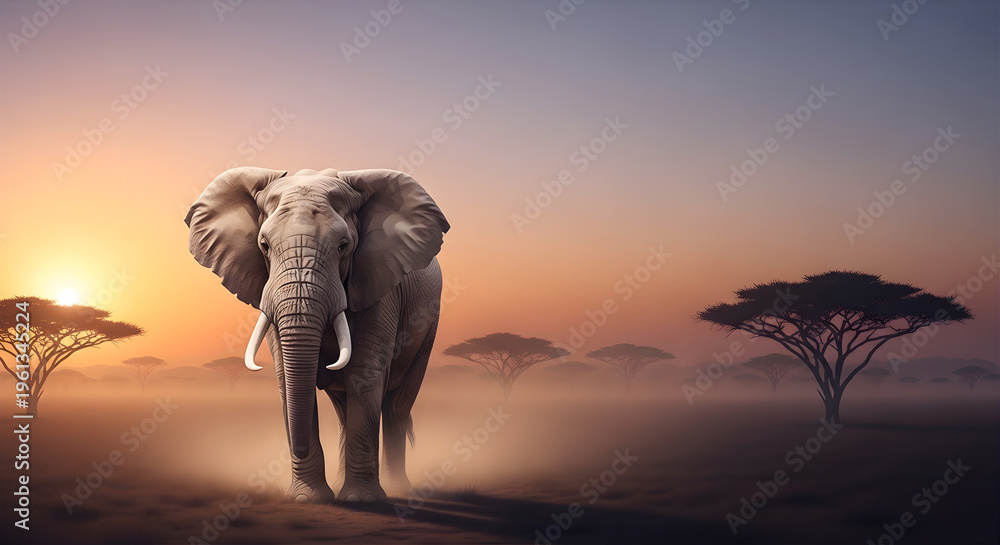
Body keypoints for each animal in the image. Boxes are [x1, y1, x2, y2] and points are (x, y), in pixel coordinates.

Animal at [185, 167, 450, 503]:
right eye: (264, 246)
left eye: (343, 246)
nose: (296, 450)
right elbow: (287, 377)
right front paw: (308, 499)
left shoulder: (380, 286)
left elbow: (365, 373)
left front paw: (361, 500)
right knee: (344, 410)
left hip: (429, 322)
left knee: (396, 405)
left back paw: (397, 490)